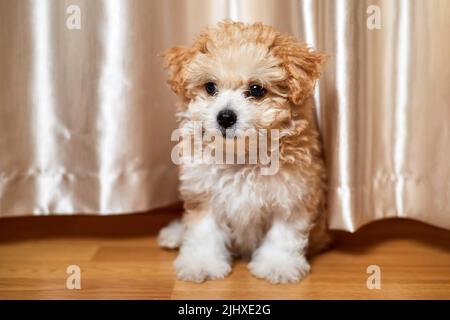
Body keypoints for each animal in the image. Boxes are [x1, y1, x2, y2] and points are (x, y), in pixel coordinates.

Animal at [158, 21, 330, 284]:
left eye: (256, 89)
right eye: (210, 87)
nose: (225, 117)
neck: (243, 157)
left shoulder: (293, 195)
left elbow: (283, 234)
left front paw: (277, 265)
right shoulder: (203, 192)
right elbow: (203, 230)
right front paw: (202, 263)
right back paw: (174, 234)